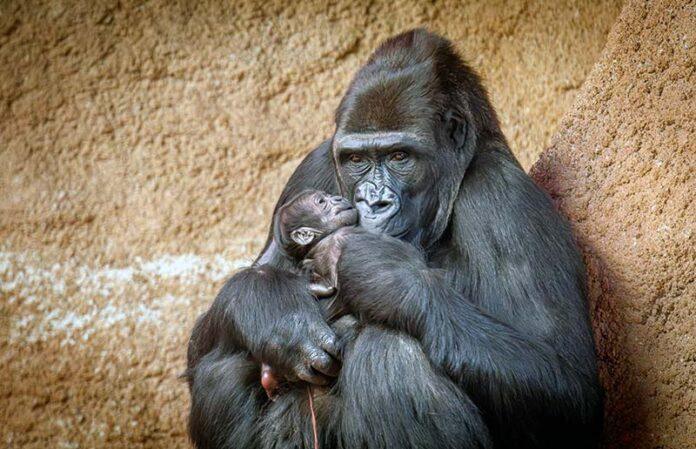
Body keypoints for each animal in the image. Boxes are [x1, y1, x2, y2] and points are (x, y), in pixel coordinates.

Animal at [186, 29, 604, 448]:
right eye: (356, 160)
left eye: (400, 156)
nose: (373, 201)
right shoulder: (314, 165)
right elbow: (207, 338)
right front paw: (275, 310)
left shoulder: (504, 195)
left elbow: (567, 382)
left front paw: (386, 276)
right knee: (223, 362)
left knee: (393, 355)